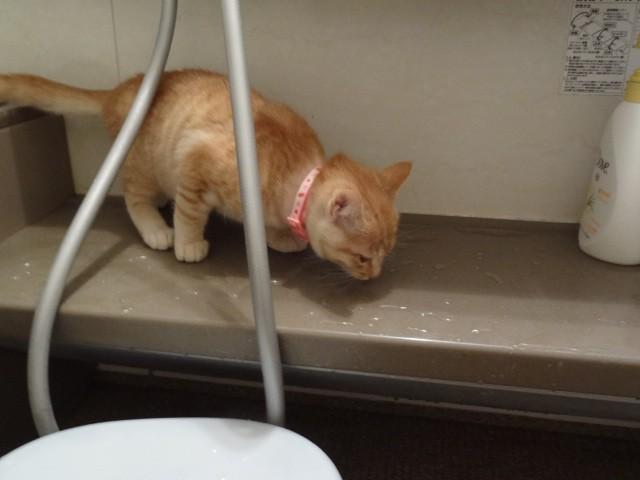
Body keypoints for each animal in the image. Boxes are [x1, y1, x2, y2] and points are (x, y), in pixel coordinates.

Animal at [0, 69, 411, 280]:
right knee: (134, 196)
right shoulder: (196, 160)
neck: (291, 175)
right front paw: (188, 242)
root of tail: (121, 90)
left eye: (386, 254)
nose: (375, 276)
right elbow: (190, 214)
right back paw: (155, 228)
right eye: (363, 258)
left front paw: (278, 237)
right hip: (145, 163)